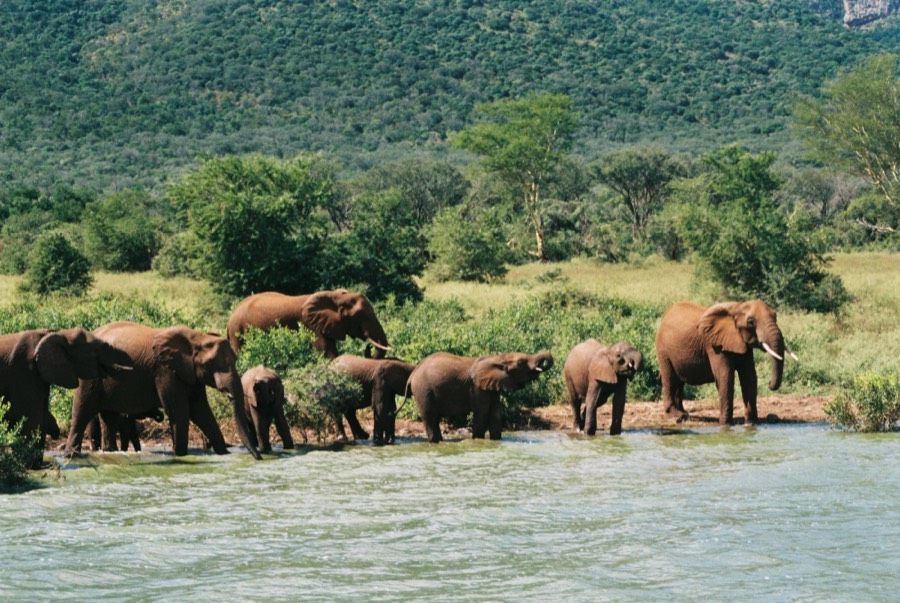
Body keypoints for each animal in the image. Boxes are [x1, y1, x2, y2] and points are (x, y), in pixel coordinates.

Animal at [0, 327, 132, 468]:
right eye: (95, 350)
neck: (59, 333)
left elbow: (40, 414)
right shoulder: (24, 371)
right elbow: (31, 418)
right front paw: (33, 467)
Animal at [65, 322, 261, 460]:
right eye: (209, 364)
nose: (259, 458)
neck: (196, 338)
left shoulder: (189, 373)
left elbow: (201, 411)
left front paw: (223, 455)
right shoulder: (166, 370)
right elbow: (179, 411)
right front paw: (181, 456)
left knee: (108, 417)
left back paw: (109, 452)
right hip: (89, 378)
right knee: (82, 413)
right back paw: (71, 455)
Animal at [226, 289, 390, 359]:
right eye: (359, 316)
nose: (368, 347)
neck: (335, 296)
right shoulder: (309, 325)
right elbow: (326, 352)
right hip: (237, 332)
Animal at [406, 351, 554, 443]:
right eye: (521, 362)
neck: (497, 358)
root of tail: (413, 374)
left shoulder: (492, 386)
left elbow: (496, 414)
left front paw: (496, 441)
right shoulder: (477, 388)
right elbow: (482, 414)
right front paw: (478, 441)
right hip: (422, 390)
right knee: (429, 417)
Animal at [655, 300, 797, 426]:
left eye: (775, 316)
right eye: (750, 322)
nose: (769, 383)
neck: (737, 307)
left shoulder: (742, 344)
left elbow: (749, 377)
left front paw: (752, 424)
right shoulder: (714, 345)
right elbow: (725, 377)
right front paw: (725, 425)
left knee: (680, 381)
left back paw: (683, 413)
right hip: (662, 348)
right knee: (669, 377)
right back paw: (675, 415)